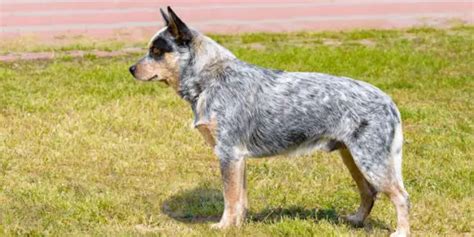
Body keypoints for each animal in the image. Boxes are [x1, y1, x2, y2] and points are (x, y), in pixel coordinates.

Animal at [130, 6, 412, 236]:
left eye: (156, 51)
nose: (131, 69)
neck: (210, 79)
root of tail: (389, 101)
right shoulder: (237, 157)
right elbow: (240, 199)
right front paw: (238, 225)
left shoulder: (228, 153)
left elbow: (229, 198)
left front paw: (223, 227)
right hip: (352, 158)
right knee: (369, 192)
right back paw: (355, 220)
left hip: (371, 161)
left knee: (401, 196)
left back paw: (400, 232)